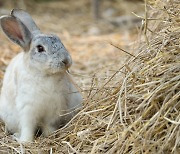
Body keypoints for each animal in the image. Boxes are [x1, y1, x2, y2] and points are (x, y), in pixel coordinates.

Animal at [0, 9, 82, 142]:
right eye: (40, 48)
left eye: (60, 41)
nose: (66, 60)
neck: (44, 74)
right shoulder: (27, 109)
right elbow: (27, 127)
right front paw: (26, 141)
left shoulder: (54, 108)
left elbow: (49, 125)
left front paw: (50, 135)